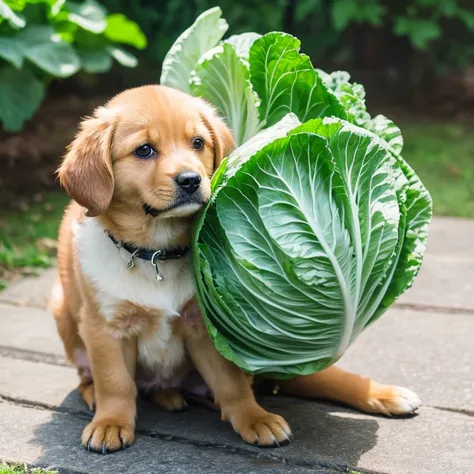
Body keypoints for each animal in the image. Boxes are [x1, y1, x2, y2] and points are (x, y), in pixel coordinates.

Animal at [52, 85, 422, 456]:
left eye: (198, 143)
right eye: (144, 150)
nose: (191, 180)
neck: (156, 253)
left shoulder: (205, 327)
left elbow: (231, 384)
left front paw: (255, 418)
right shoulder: (104, 328)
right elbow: (115, 382)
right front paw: (110, 422)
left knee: (319, 376)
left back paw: (385, 394)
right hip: (61, 308)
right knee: (93, 378)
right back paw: (114, 397)